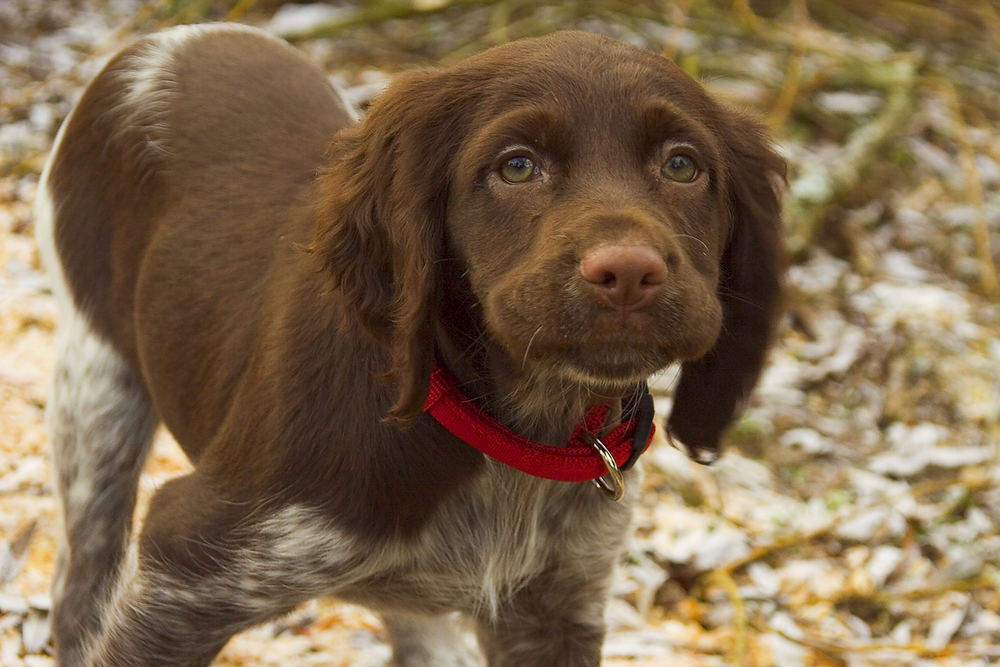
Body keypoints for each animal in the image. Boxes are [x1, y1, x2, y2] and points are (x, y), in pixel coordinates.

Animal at [35, 22, 784, 667]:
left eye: (683, 165)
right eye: (517, 166)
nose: (628, 272)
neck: (509, 430)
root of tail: (177, 35)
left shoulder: (555, 605)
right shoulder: (185, 571)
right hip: (96, 391)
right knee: (80, 584)